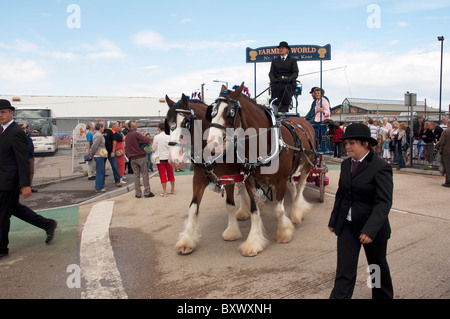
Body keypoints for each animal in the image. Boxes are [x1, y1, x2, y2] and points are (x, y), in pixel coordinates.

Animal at [165, 94, 251, 255]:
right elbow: (193, 208)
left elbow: (229, 204)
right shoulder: (198, 180)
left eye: (186, 123)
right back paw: (244, 211)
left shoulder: (228, 178)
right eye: (167, 123)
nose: (174, 160)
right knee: (242, 186)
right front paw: (187, 240)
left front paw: (232, 231)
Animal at [205, 83, 316, 258]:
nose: (211, 143)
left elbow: (278, 209)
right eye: (212, 112)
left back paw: (297, 211)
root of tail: (301, 120)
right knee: (293, 185)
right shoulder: (250, 181)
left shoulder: (279, 181)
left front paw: (284, 233)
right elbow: (254, 212)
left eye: (230, 112)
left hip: (307, 165)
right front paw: (254, 242)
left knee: (301, 186)